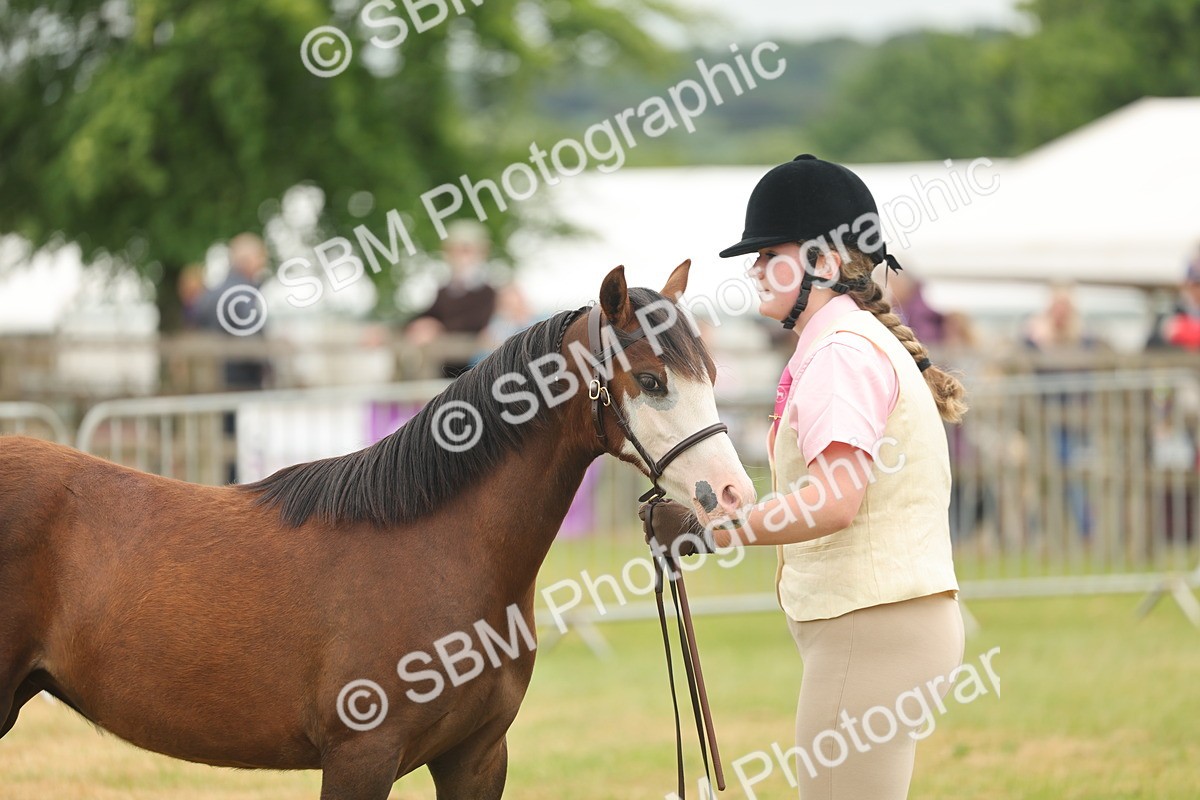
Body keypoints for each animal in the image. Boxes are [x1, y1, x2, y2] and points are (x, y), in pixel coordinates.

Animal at [0, 261, 755, 799]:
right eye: (652, 380)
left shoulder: (476, 759)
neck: (437, 550)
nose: (734, 496)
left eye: (713, 373)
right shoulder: (361, 757)